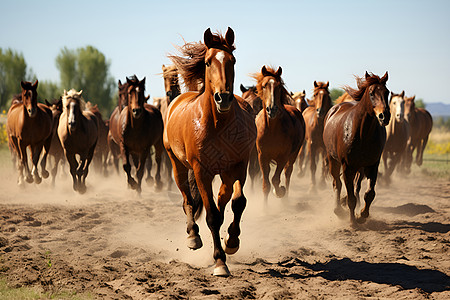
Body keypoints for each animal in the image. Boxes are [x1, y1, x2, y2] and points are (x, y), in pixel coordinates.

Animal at [165, 28, 256, 276]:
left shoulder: (238, 166)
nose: (223, 97)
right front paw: (219, 262)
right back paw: (193, 237)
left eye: (232, 60)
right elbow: (212, 216)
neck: (217, 125)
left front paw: (232, 242)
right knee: (187, 199)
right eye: (207, 62)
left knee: (223, 199)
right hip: (177, 164)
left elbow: (238, 202)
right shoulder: (201, 171)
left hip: (225, 172)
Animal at [253, 65, 306, 202]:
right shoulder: (262, 156)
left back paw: (285, 198)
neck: (272, 130)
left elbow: (275, 180)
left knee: (288, 173)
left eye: (278, 86)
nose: (272, 109)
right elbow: (266, 184)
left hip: (293, 155)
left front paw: (280, 192)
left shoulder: (283, 157)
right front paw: (265, 207)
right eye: (264, 86)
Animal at [324, 71, 390, 224]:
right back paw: (338, 210)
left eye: (387, 92)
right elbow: (351, 197)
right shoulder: (347, 167)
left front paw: (362, 214)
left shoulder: (372, 166)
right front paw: (353, 221)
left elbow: (369, 193)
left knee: (355, 186)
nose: (384, 116)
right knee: (337, 183)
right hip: (333, 160)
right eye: (371, 93)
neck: (362, 133)